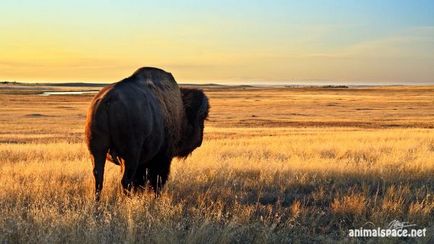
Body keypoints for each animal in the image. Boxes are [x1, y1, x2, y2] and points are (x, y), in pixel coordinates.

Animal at [84, 67, 209, 200]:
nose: (200, 140)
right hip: (130, 156)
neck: (182, 112)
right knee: (126, 180)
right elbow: (157, 180)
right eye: (201, 117)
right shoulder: (162, 158)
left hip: (97, 151)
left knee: (99, 177)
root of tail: (108, 100)